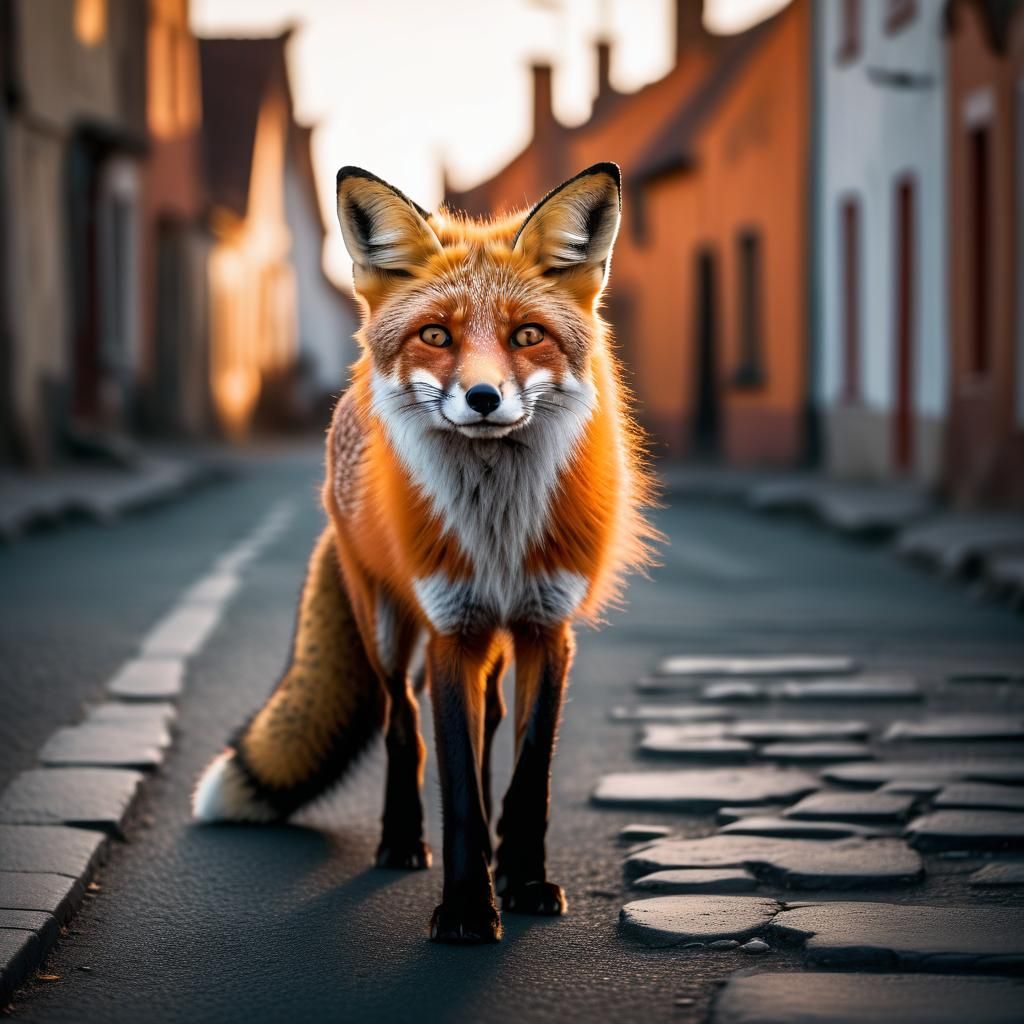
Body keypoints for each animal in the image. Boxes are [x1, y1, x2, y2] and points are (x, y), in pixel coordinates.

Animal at [192, 161, 657, 943]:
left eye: (527, 335)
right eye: (436, 334)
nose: (483, 397)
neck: (497, 529)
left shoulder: (546, 628)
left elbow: (529, 777)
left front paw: (524, 879)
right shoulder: (451, 630)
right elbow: (458, 785)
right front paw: (467, 907)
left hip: (492, 643)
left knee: (490, 722)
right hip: (387, 625)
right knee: (400, 721)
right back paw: (402, 840)